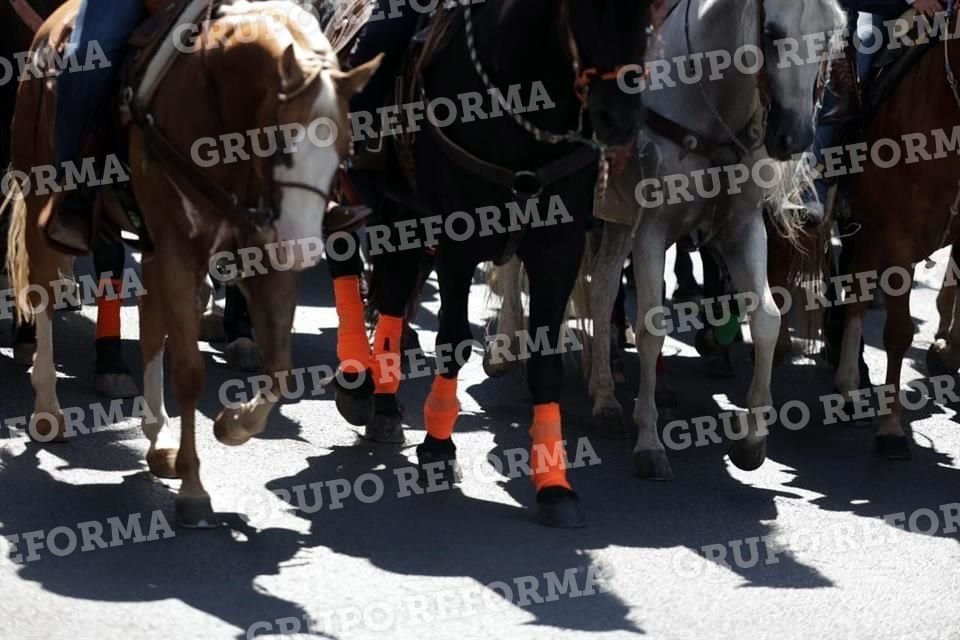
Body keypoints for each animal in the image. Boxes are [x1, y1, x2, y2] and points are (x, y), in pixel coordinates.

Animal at [4, 1, 378, 524]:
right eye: (282, 142)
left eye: (345, 146)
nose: (302, 248)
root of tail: (49, 27)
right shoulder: (180, 248)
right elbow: (188, 370)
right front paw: (194, 489)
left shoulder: (258, 251)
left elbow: (279, 369)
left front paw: (231, 426)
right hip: (41, 194)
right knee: (42, 290)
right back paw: (47, 409)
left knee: (150, 317)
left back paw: (156, 437)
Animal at [330, 1, 652, 528]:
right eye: (583, 9)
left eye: (652, 11)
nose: (619, 119)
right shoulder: (458, 240)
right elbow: (453, 341)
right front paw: (438, 447)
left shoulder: (559, 246)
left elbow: (545, 361)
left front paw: (554, 486)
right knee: (343, 259)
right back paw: (357, 381)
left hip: (403, 213)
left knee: (395, 292)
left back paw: (384, 405)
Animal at [588, 0, 844, 480]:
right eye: (771, 31)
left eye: (830, 35)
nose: (795, 137)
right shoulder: (650, 228)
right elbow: (651, 325)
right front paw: (649, 441)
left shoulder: (743, 228)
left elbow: (767, 319)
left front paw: (752, 440)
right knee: (599, 289)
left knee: (603, 289)